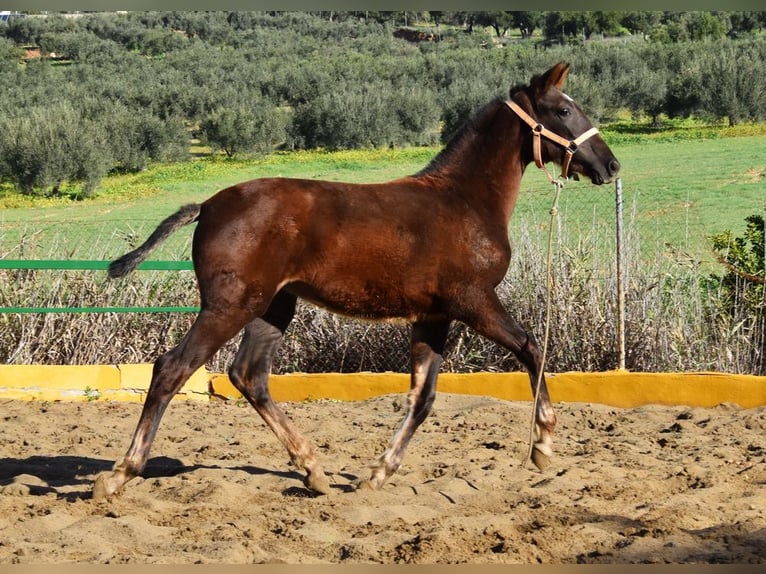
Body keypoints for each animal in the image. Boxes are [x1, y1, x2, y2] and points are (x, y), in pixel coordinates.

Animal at [94, 63, 624, 502]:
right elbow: (532, 347)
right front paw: (543, 444)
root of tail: (206, 205)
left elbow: (423, 397)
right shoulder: (473, 301)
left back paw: (313, 470)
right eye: (563, 109)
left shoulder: (433, 315)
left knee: (248, 374)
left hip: (273, 306)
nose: (610, 165)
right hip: (230, 304)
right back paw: (120, 474)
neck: (464, 201)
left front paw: (378, 473)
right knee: (172, 368)